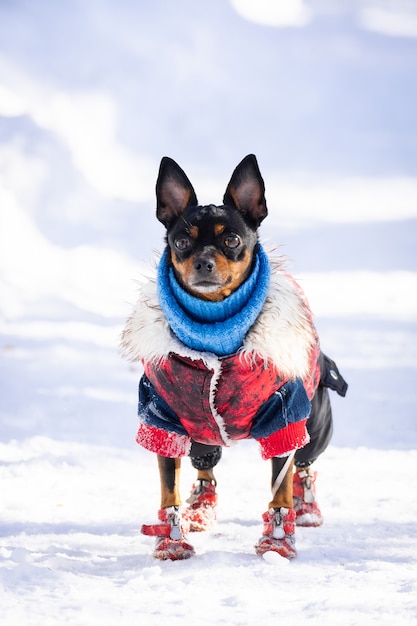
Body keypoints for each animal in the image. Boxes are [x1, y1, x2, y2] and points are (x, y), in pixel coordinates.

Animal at [119, 155, 344, 560]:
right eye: (181, 241)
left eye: (232, 239)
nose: (204, 263)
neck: (215, 331)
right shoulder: (164, 422)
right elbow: (168, 488)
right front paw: (172, 539)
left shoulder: (283, 420)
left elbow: (280, 486)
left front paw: (277, 541)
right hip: (201, 432)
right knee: (205, 464)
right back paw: (200, 509)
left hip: (315, 423)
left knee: (304, 464)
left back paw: (305, 508)